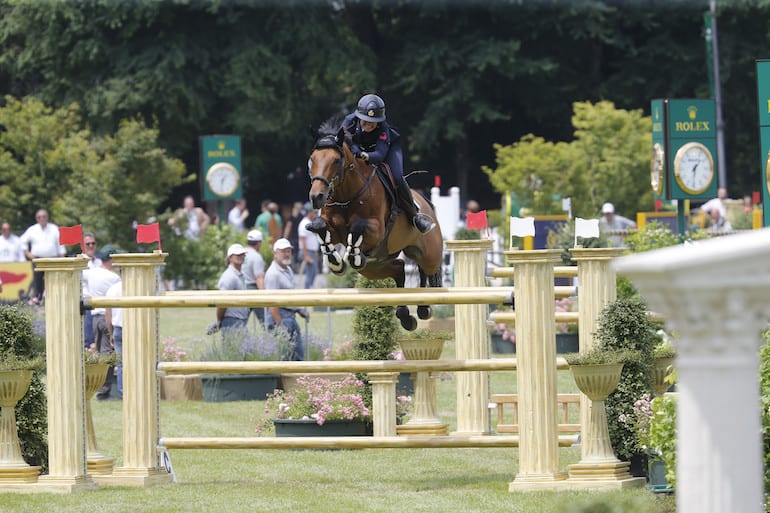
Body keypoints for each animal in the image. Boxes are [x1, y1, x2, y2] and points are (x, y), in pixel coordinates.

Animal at [306, 119, 444, 330]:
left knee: (426, 270)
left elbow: (357, 228)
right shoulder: (334, 230)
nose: (317, 197)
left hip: (428, 253)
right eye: (312, 159)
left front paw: (353, 256)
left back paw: (423, 306)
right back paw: (406, 316)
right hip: (374, 267)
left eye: (336, 160)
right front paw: (335, 261)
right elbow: (320, 226)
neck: (346, 196)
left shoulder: (377, 230)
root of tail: (427, 203)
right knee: (400, 269)